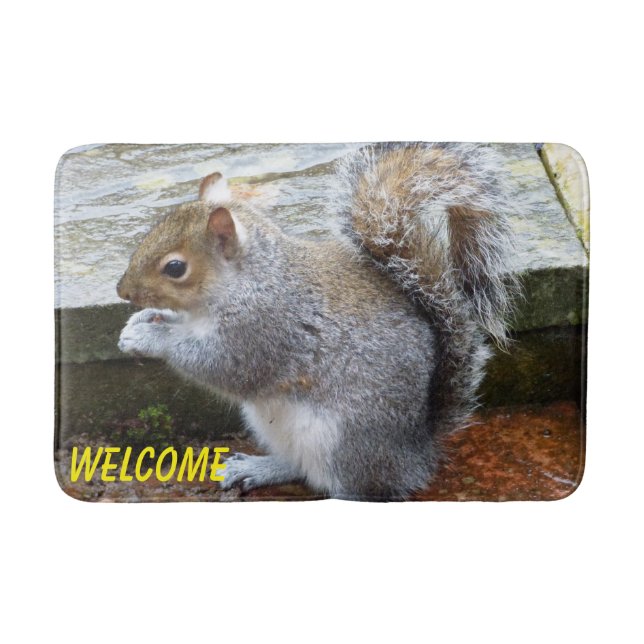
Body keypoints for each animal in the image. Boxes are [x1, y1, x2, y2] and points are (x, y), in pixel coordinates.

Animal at [117, 143, 519, 500]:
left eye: (175, 268)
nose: (122, 291)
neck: (246, 281)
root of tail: (417, 451)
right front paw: (140, 322)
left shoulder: (264, 328)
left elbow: (222, 366)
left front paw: (150, 337)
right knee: (300, 467)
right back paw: (258, 468)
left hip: (342, 441)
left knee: (358, 487)